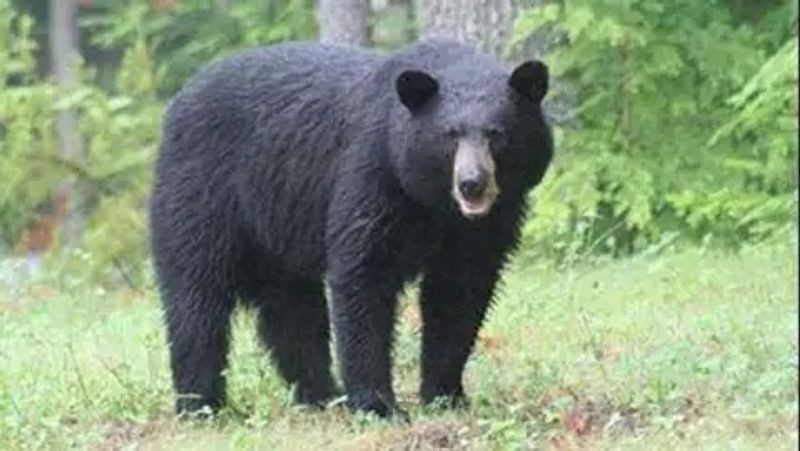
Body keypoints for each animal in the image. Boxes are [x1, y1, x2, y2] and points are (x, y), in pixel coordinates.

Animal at [148, 40, 552, 418]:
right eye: (450, 135)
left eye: (497, 134)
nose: (472, 184)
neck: (433, 203)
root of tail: (177, 101)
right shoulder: (374, 171)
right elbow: (364, 274)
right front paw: (377, 404)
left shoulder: (484, 225)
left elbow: (459, 292)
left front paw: (445, 396)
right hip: (201, 195)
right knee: (197, 298)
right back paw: (200, 405)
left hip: (278, 231)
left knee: (293, 311)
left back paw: (320, 395)